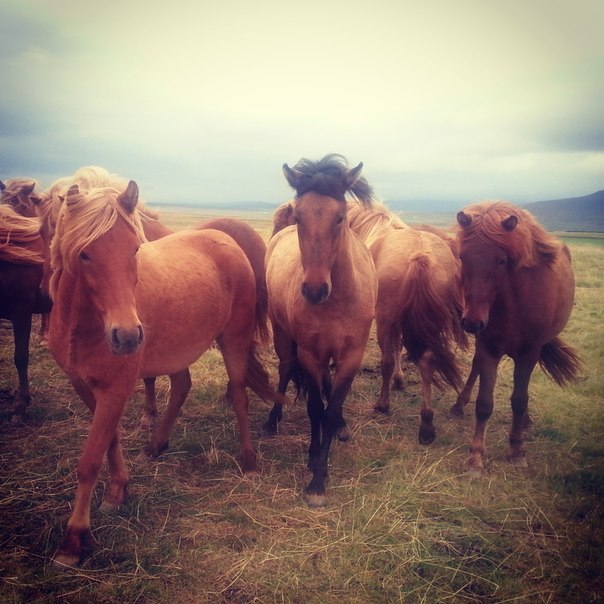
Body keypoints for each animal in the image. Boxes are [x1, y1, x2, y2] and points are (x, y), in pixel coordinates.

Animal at [264, 153, 378, 508]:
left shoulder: (351, 356)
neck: (337, 300)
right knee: (285, 372)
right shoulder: (310, 354)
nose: (314, 290)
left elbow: (331, 409)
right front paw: (315, 465)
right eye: (300, 217)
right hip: (284, 338)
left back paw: (340, 427)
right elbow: (316, 409)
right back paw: (272, 420)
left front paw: (320, 474)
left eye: (340, 218)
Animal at [344, 203, 468, 444]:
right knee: (428, 361)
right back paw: (427, 424)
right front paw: (400, 380)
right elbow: (398, 345)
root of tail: (419, 255)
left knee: (386, 361)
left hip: (385, 319)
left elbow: (392, 352)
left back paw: (383, 405)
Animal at [450, 203, 584, 476]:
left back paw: (525, 422)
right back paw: (459, 404)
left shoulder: (528, 353)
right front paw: (475, 458)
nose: (472, 322)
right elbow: (484, 403)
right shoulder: (488, 349)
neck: (513, 305)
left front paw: (517, 451)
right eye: (463, 257)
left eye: (501, 260)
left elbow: (520, 400)